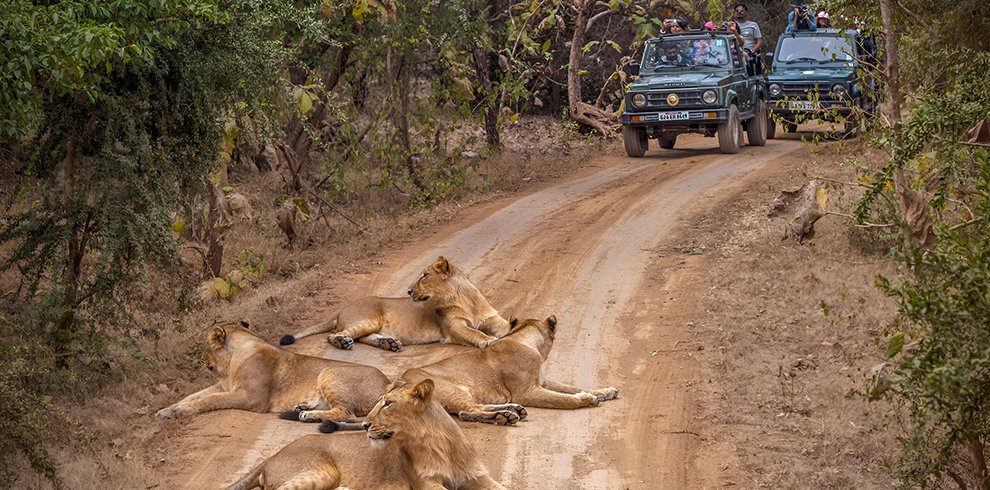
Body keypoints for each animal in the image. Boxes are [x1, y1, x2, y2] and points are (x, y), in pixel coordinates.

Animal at [157, 322, 390, 422]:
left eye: (206, 345)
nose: (201, 359)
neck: (231, 365)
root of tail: (388, 382)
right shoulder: (222, 385)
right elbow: (192, 396)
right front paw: (166, 410)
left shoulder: (251, 397)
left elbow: (210, 400)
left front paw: (181, 411)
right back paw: (302, 407)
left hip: (328, 371)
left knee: (346, 413)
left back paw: (308, 415)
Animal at [225, 378, 504, 490]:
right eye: (380, 402)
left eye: (388, 403)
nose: (366, 424)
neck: (437, 443)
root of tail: (270, 457)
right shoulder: (424, 483)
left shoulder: (477, 476)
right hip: (321, 471)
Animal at [280, 256, 512, 352]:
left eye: (424, 275)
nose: (408, 291)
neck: (464, 299)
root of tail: (340, 310)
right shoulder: (453, 327)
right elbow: (475, 333)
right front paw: (488, 341)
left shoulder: (493, 318)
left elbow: (507, 326)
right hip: (367, 319)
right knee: (335, 335)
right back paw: (343, 343)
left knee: (362, 337)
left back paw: (388, 344)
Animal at [402, 314, 620, 424]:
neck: (523, 339)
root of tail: (399, 381)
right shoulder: (528, 392)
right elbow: (564, 399)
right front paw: (587, 399)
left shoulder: (543, 381)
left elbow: (572, 386)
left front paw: (605, 391)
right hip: (451, 390)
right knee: (468, 411)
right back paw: (505, 416)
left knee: (470, 410)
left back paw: (511, 411)